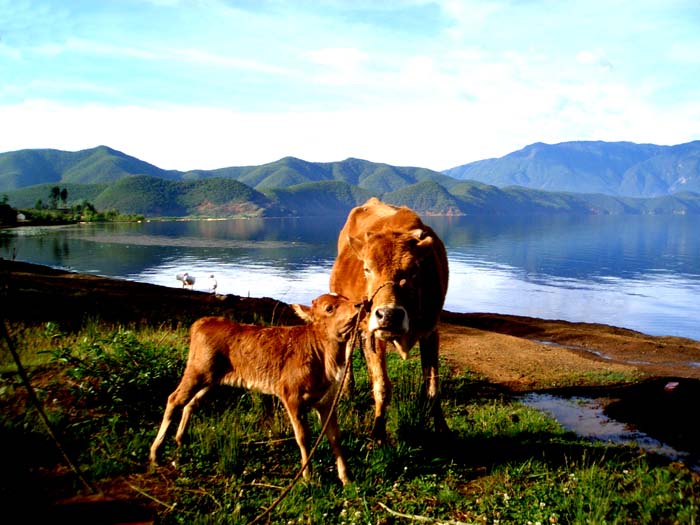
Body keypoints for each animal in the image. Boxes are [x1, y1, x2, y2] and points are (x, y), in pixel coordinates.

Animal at [151, 290, 364, 484]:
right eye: (329, 308)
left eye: (345, 298)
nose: (359, 304)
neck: (323, 356)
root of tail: (203, 322)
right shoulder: (291, 396)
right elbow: (303, 436)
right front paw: (308, 476)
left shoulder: (326, 399)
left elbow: (334, 436)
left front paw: (346, 478)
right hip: (197, 370)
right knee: (174, 399)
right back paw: (156, 452)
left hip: (212, 380)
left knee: (191, 403)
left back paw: (180, 439)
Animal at [330, 199, 448, 440]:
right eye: (367, 268)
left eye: (414, 270)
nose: (389, 315)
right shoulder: (373, 332)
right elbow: (382, 385)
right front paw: (378, 432)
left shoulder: (431, 330)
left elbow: (433, 385)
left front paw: (442, 428)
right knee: (348, 351)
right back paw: (348, 390)